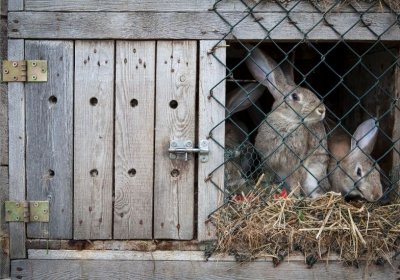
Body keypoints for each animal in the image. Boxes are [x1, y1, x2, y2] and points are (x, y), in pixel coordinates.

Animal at [245, 46, 330, 197]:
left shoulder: (296, 164)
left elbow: (295, 181)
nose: (322, 110)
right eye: (295, 97)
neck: (287, 121)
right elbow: (267, 175)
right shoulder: (268, 162)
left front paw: (293, 196)